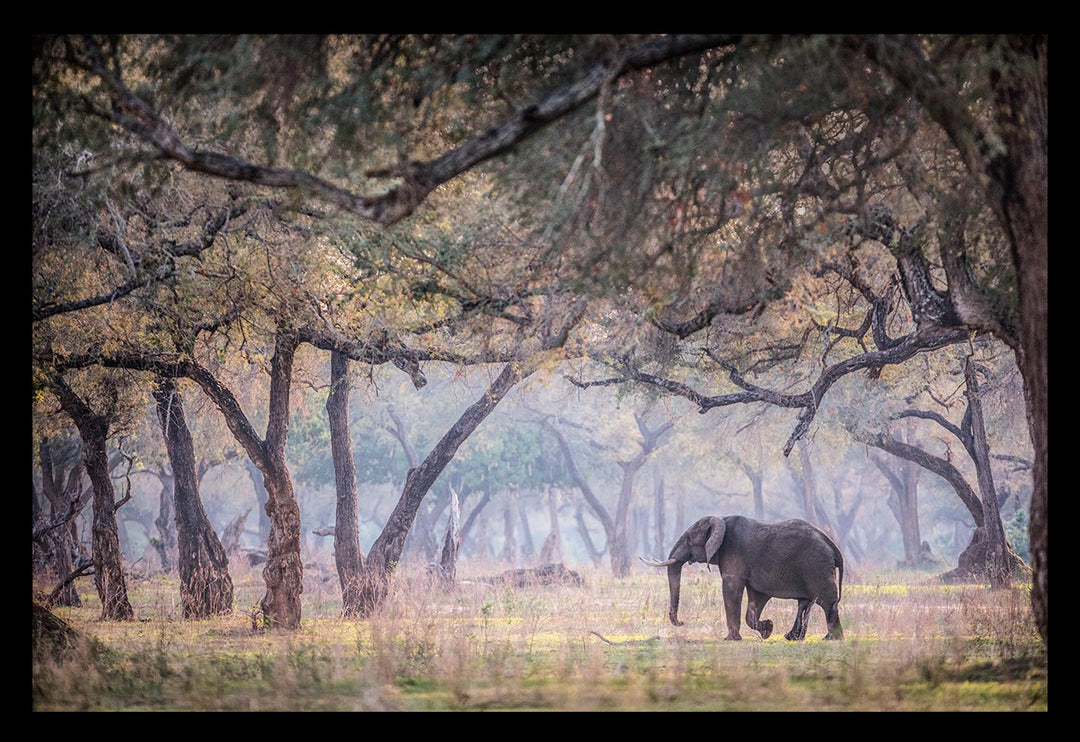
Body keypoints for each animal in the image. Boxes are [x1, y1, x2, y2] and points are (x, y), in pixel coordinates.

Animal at [639, 514, 842, 639]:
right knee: (805, 602)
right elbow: (756, 597)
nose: (681, 622)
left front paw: (730, 639)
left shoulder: (733, 554)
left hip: (816, 565)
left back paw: (830, 639)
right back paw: (793, 637)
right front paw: (768, 628)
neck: (721, 519)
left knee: (827, 601)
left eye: (689, 539)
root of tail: (832, 545)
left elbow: (731, 588)